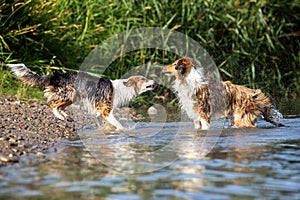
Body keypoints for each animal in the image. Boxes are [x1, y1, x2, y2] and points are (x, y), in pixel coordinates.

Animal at [5, 63, 156, 130]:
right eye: (144, 79)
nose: (155, 81)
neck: (125, 88)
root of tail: (56, 76)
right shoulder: (106, 111)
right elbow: (118, 123)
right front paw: (124, 131)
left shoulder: (99, 112)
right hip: (68, 94)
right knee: (52, 105)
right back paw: (60, 116)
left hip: (72, 97)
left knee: (59, 107)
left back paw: (65, 116)